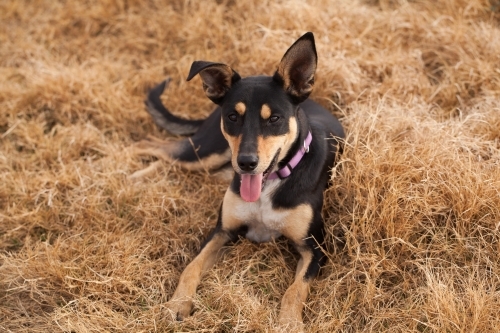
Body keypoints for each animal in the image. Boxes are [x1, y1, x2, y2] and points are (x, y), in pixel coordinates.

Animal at [135, 32, 346, 328]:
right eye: (233, 116)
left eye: (275, 119)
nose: (247, 163)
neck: (269, 185)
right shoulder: (223, 231)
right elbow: (192, 266)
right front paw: (178, 303)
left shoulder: (315, 248)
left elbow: (295, 290)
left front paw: (289, 323)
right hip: (206, 151)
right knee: (150, 145)